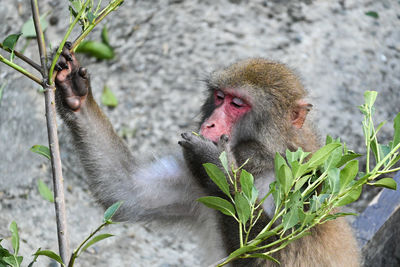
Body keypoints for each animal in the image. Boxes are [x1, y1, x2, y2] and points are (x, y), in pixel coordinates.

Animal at [54, 43, 360, 266]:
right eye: (219, 97)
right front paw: (76, 95)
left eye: (237, 104)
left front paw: (220, 169)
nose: (210, 124)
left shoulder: (308, 187)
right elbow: (126, 191)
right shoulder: (194, 178)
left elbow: (274, 256)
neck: (260, 163)